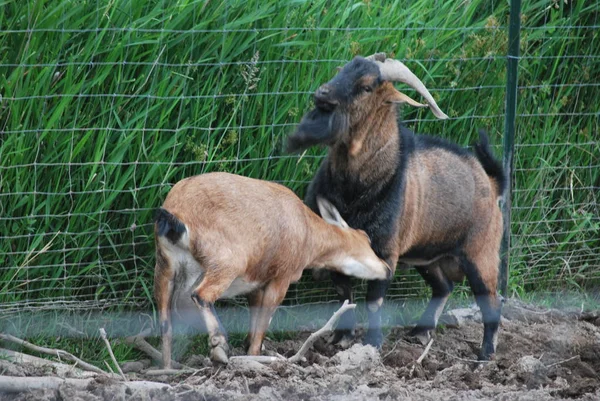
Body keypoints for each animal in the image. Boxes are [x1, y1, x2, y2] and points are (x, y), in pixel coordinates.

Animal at [155, 171, 390, 366]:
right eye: (365, 238)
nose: (387, 268)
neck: (308, 232)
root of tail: (178, 215)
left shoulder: (256, 283)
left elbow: (254, 319)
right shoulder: (280, 279)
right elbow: (263, 321)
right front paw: (254, 357)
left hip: (166, 271)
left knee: (166, 323)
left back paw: (168, 370)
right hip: (225, 265)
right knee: (201, 295)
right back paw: (219, 347)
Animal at [288, 52, 504, 360]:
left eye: (367, 86)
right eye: (343, 69)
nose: (322, 93)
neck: (355, 189)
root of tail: (494, 183)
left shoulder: (387, 251)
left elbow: (374, 301)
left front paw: (372, 344)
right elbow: (345, 295)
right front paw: (341, 339)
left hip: (481, 251)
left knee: (491, 301)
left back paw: (485, 356)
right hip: (427, 255)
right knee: (444, 286)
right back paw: (420, 332)